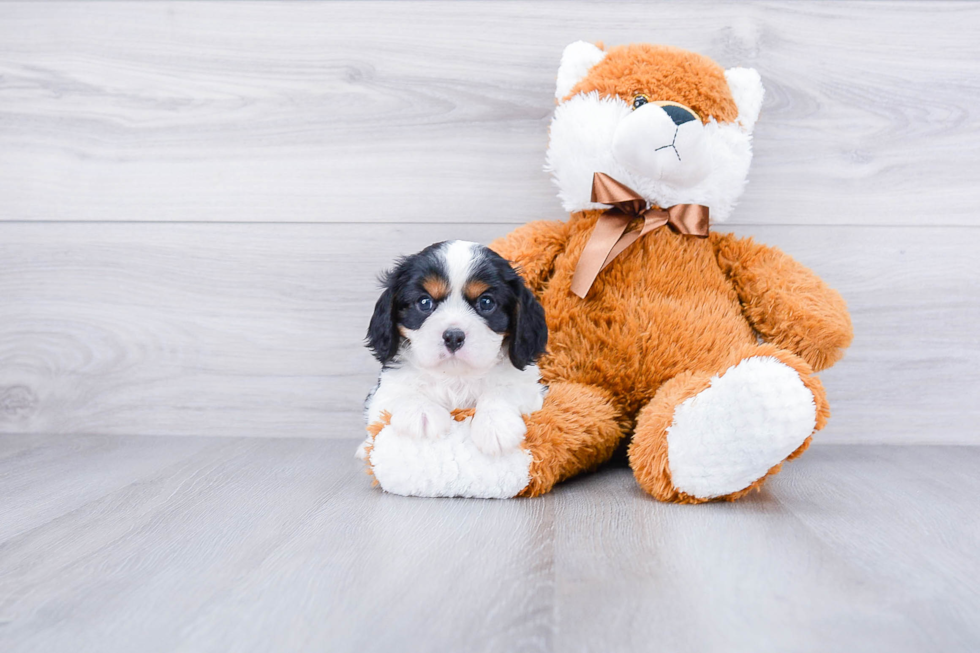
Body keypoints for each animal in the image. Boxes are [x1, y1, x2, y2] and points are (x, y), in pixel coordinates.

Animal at [358, 239, 548, 458]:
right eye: (424, 302)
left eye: (486, 302)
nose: (454, 337)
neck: (455, 376)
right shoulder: (383, 392)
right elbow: (403, 392)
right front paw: (422, 413)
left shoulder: (531, 388)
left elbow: (503, 391)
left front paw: (495, 424)